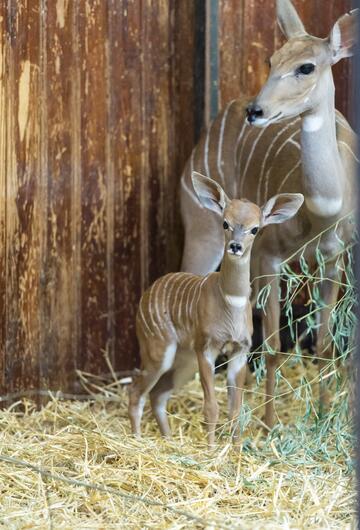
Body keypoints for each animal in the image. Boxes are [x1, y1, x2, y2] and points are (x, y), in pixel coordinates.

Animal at [129, 171, 304, 444]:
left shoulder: (240, 350)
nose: (235, 246)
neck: (230, 301)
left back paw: (168, 441)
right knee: (136, 391)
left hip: (184, 360)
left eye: (255, 228)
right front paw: (212, 449)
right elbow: (211, 406)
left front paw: (236, 448)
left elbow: (235, 408)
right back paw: (138, 440)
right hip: (158, 350)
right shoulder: (207, 348)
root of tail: (147, 294)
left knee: (158, 394)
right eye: (225, 223)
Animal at [180, 0, 358, 424]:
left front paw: (321, 415)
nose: (256, 110)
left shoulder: (333, 261)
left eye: (307, 66)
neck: (320, 215)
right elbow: (275, 348)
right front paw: (269, 422)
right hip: (202, 231)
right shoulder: (269, 257)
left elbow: (323, 345)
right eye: (271, 58)